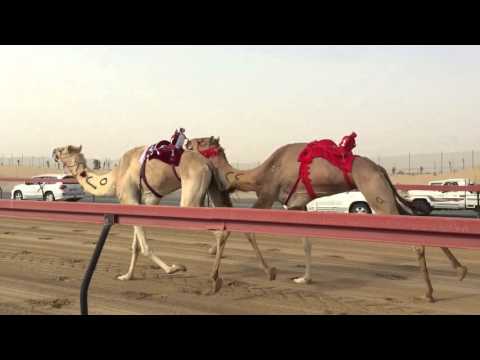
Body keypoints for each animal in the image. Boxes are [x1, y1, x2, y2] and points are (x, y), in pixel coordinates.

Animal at [52, 142, 231, 286]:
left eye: (62, 150)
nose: (53, 152)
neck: (114, 178)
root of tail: (207, 163)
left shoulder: (129, 200)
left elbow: (144, 247)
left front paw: (174, 268)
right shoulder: (144, 203)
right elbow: (135, 246)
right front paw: (127, 276)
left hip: (191, 194)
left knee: (220, 230)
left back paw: (214, 278)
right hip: (211, 188)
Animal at [187, 135, 468, 300]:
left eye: (200, 141)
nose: (187, 142)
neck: (259, 174)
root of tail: (380, 168)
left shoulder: (268, 195)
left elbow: (239, 228)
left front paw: (216, 281)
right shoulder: (296, 205)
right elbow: (306, 242)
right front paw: (304, 278)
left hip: (375, 192)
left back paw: (430, 293)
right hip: (383, 193)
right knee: (417, 221)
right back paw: (460, 271)